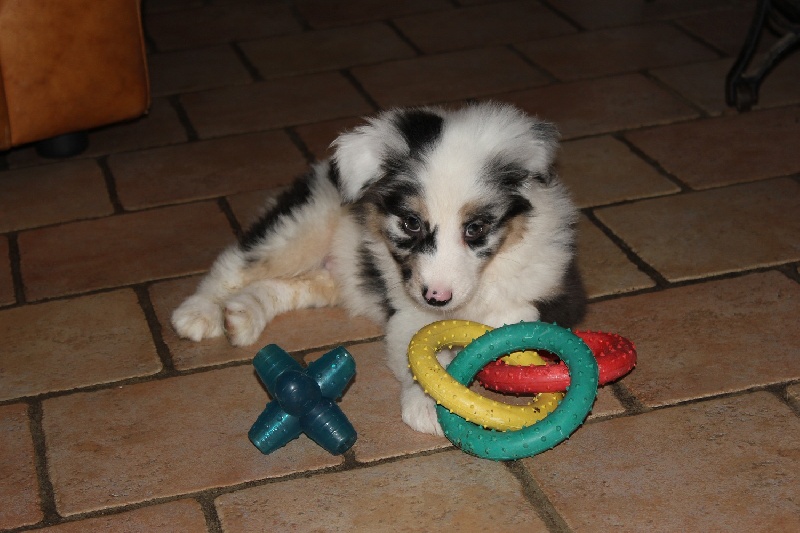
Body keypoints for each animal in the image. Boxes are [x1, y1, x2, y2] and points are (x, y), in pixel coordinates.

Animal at [173, 102, 588, 434]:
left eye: (475, 228)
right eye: (411, 223)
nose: (437, 298)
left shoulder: (561, 290)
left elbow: (516, 314)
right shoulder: (407, 308)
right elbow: (420, 346)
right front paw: (428, 403)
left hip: (335, 275)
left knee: (289, 285)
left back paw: (242, 314)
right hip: (303, 224)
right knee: (239, 261)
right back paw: (199, 314)